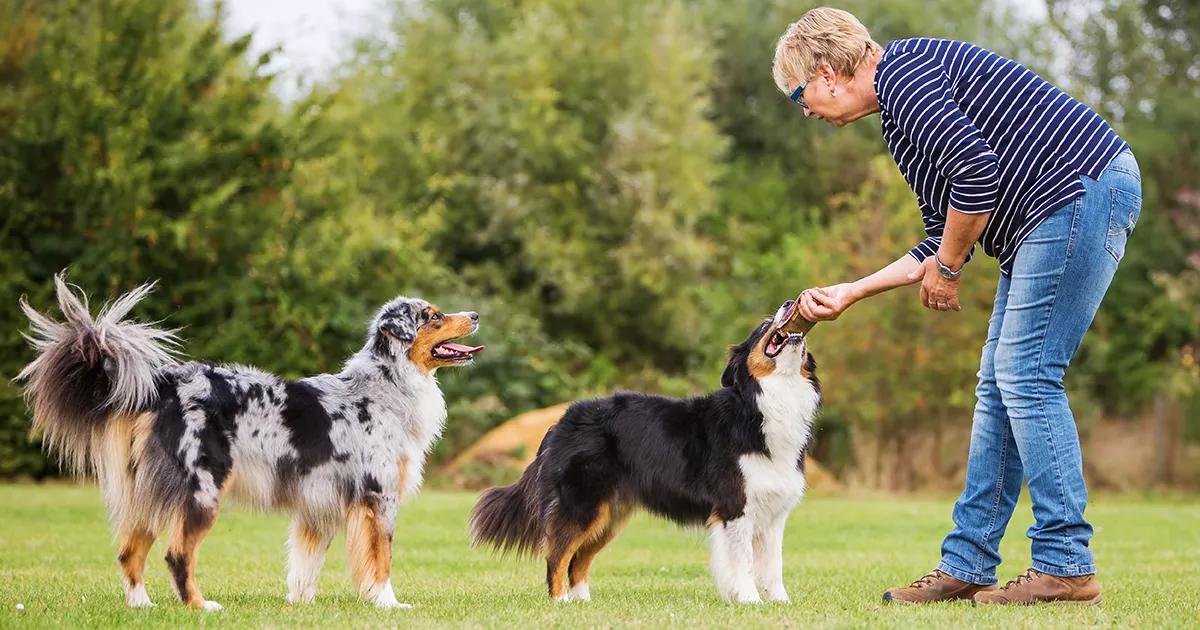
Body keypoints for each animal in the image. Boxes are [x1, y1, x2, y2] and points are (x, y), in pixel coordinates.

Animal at [17, 273, 482, 609]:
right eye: (433, 316)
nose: (476, 314)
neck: (387, 385)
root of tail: (165, 385)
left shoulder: (318, 505)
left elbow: (305, 565)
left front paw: (301, 606)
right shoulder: (378, 496)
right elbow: (381, 559)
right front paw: (388, 604)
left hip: (152, 492)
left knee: (130, 551)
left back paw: (142, 607)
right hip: (203, 490)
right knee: (177, 554)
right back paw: (200, 608)